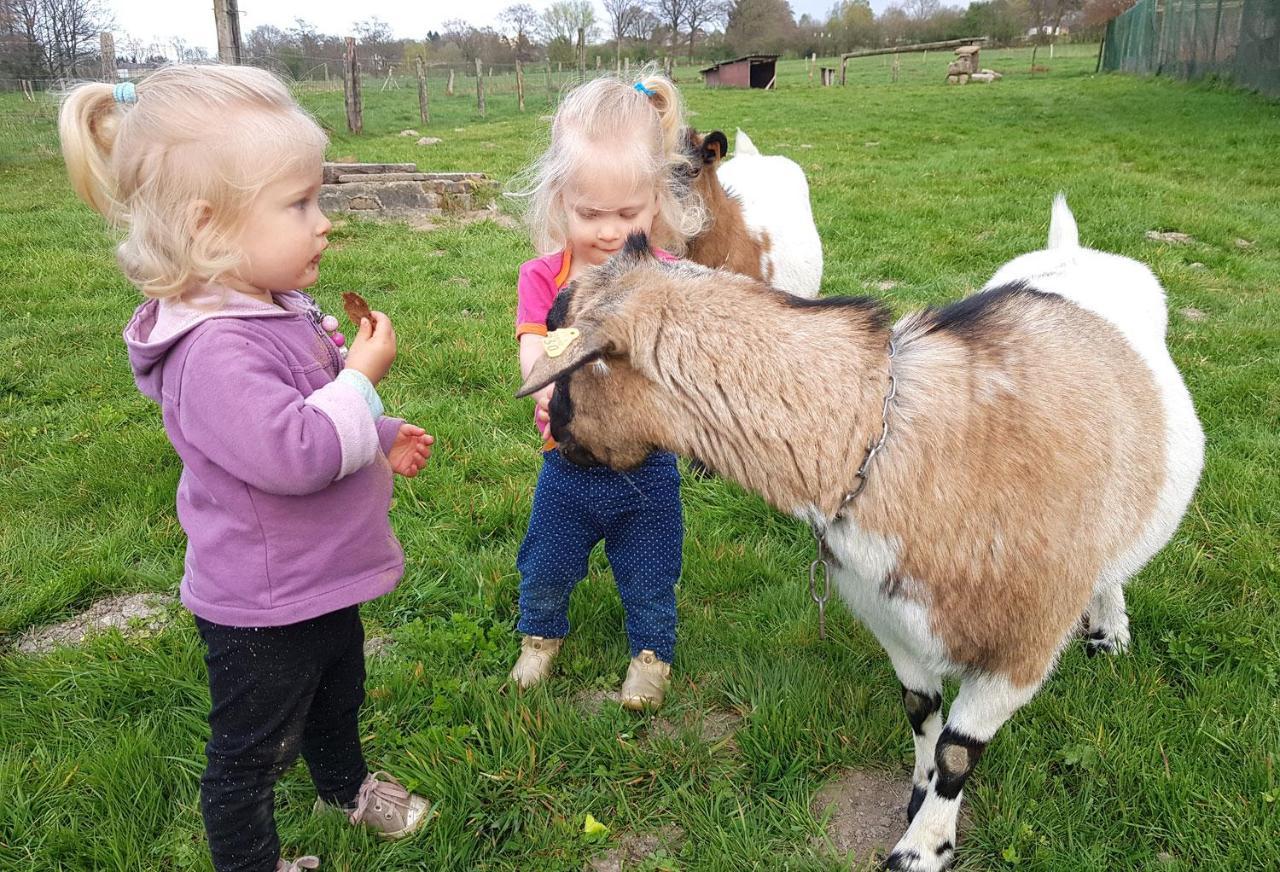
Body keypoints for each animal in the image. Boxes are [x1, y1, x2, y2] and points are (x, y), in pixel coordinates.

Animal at [517, 198, 1198, 870]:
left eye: (566, 363)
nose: (560, 441)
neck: (874, 433)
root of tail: (1072, 249)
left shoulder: (1020, 650)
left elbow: (958, 752)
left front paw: (923, 849)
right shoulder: (889, 615)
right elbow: (921, 714)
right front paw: (917, 797)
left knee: (1114, 565)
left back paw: (1109, 632)